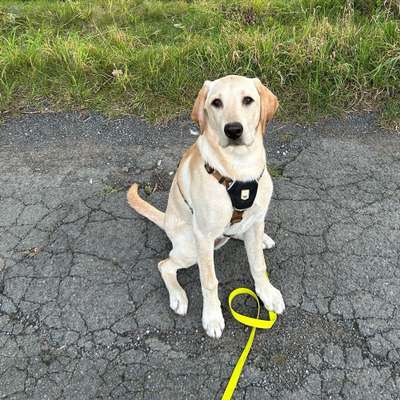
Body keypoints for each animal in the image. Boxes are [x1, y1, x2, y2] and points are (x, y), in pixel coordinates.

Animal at [128, 74, 284, 338]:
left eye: (248, 100)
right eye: (216, 103)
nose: (233, 130)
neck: (238, 166)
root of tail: (166, 220)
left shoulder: (257, 218)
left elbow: (258, 264)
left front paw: (267, 293)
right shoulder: (203, 235)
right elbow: (209, 281)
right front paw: (212, 317)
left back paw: (259, 239)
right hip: (191, 248)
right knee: (165, 265)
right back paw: (178, 296)